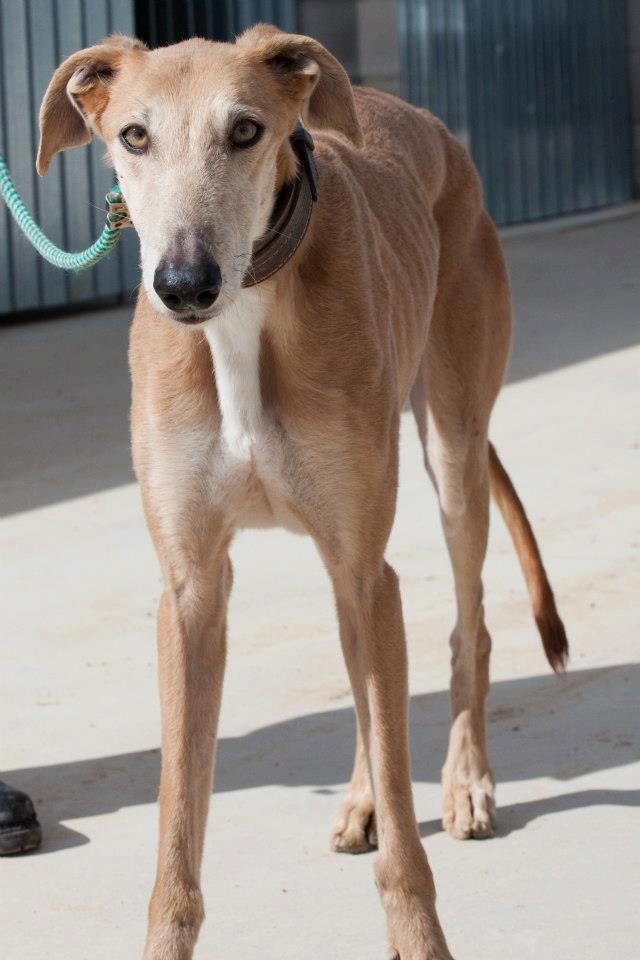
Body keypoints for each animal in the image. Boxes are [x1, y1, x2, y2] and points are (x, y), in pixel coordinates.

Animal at [37, 24, 564, 960]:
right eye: (134, 136)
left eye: (247, 131)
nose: (184, 286)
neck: (246, 318)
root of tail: (424, 118)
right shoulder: (191, 590)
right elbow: (179, 825)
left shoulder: (363, 561)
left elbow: (405, 839)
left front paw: (420, 932)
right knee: (368, 691)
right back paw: (360, 797)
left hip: (452, 452)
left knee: (465, 630)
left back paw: (467, 780)